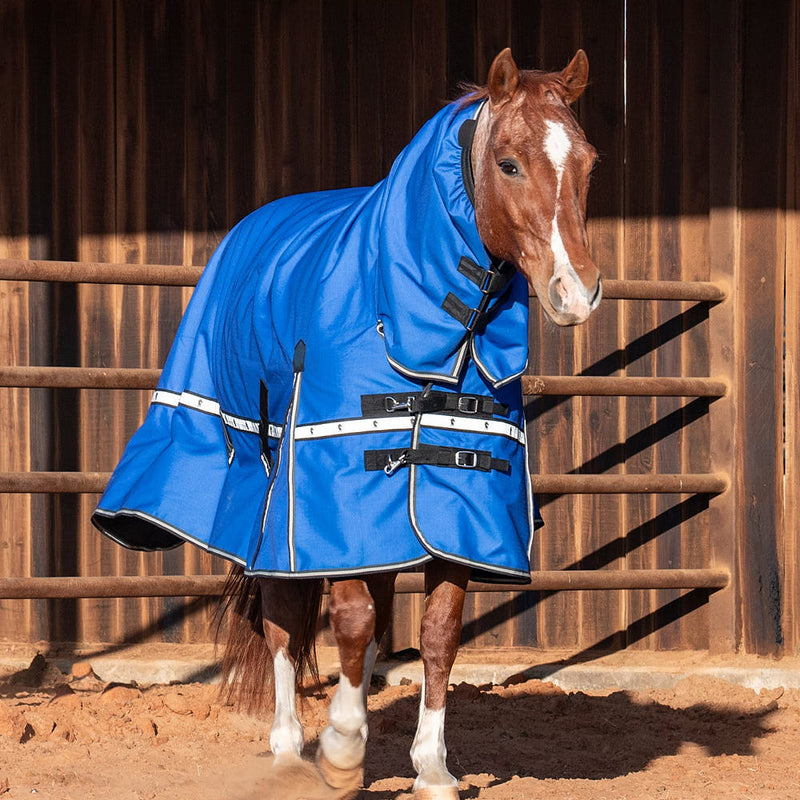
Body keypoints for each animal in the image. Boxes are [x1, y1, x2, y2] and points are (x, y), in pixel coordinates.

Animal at [92, 48, 600, 799]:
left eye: (588, 162)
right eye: (508, 164)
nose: (577, 291)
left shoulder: (462, 491)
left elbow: (439, 634)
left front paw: (432, 769)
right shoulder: (331, 487)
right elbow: (352, 621)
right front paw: (340, 748)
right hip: (270, 488)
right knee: (282, 620)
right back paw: (287, 752)